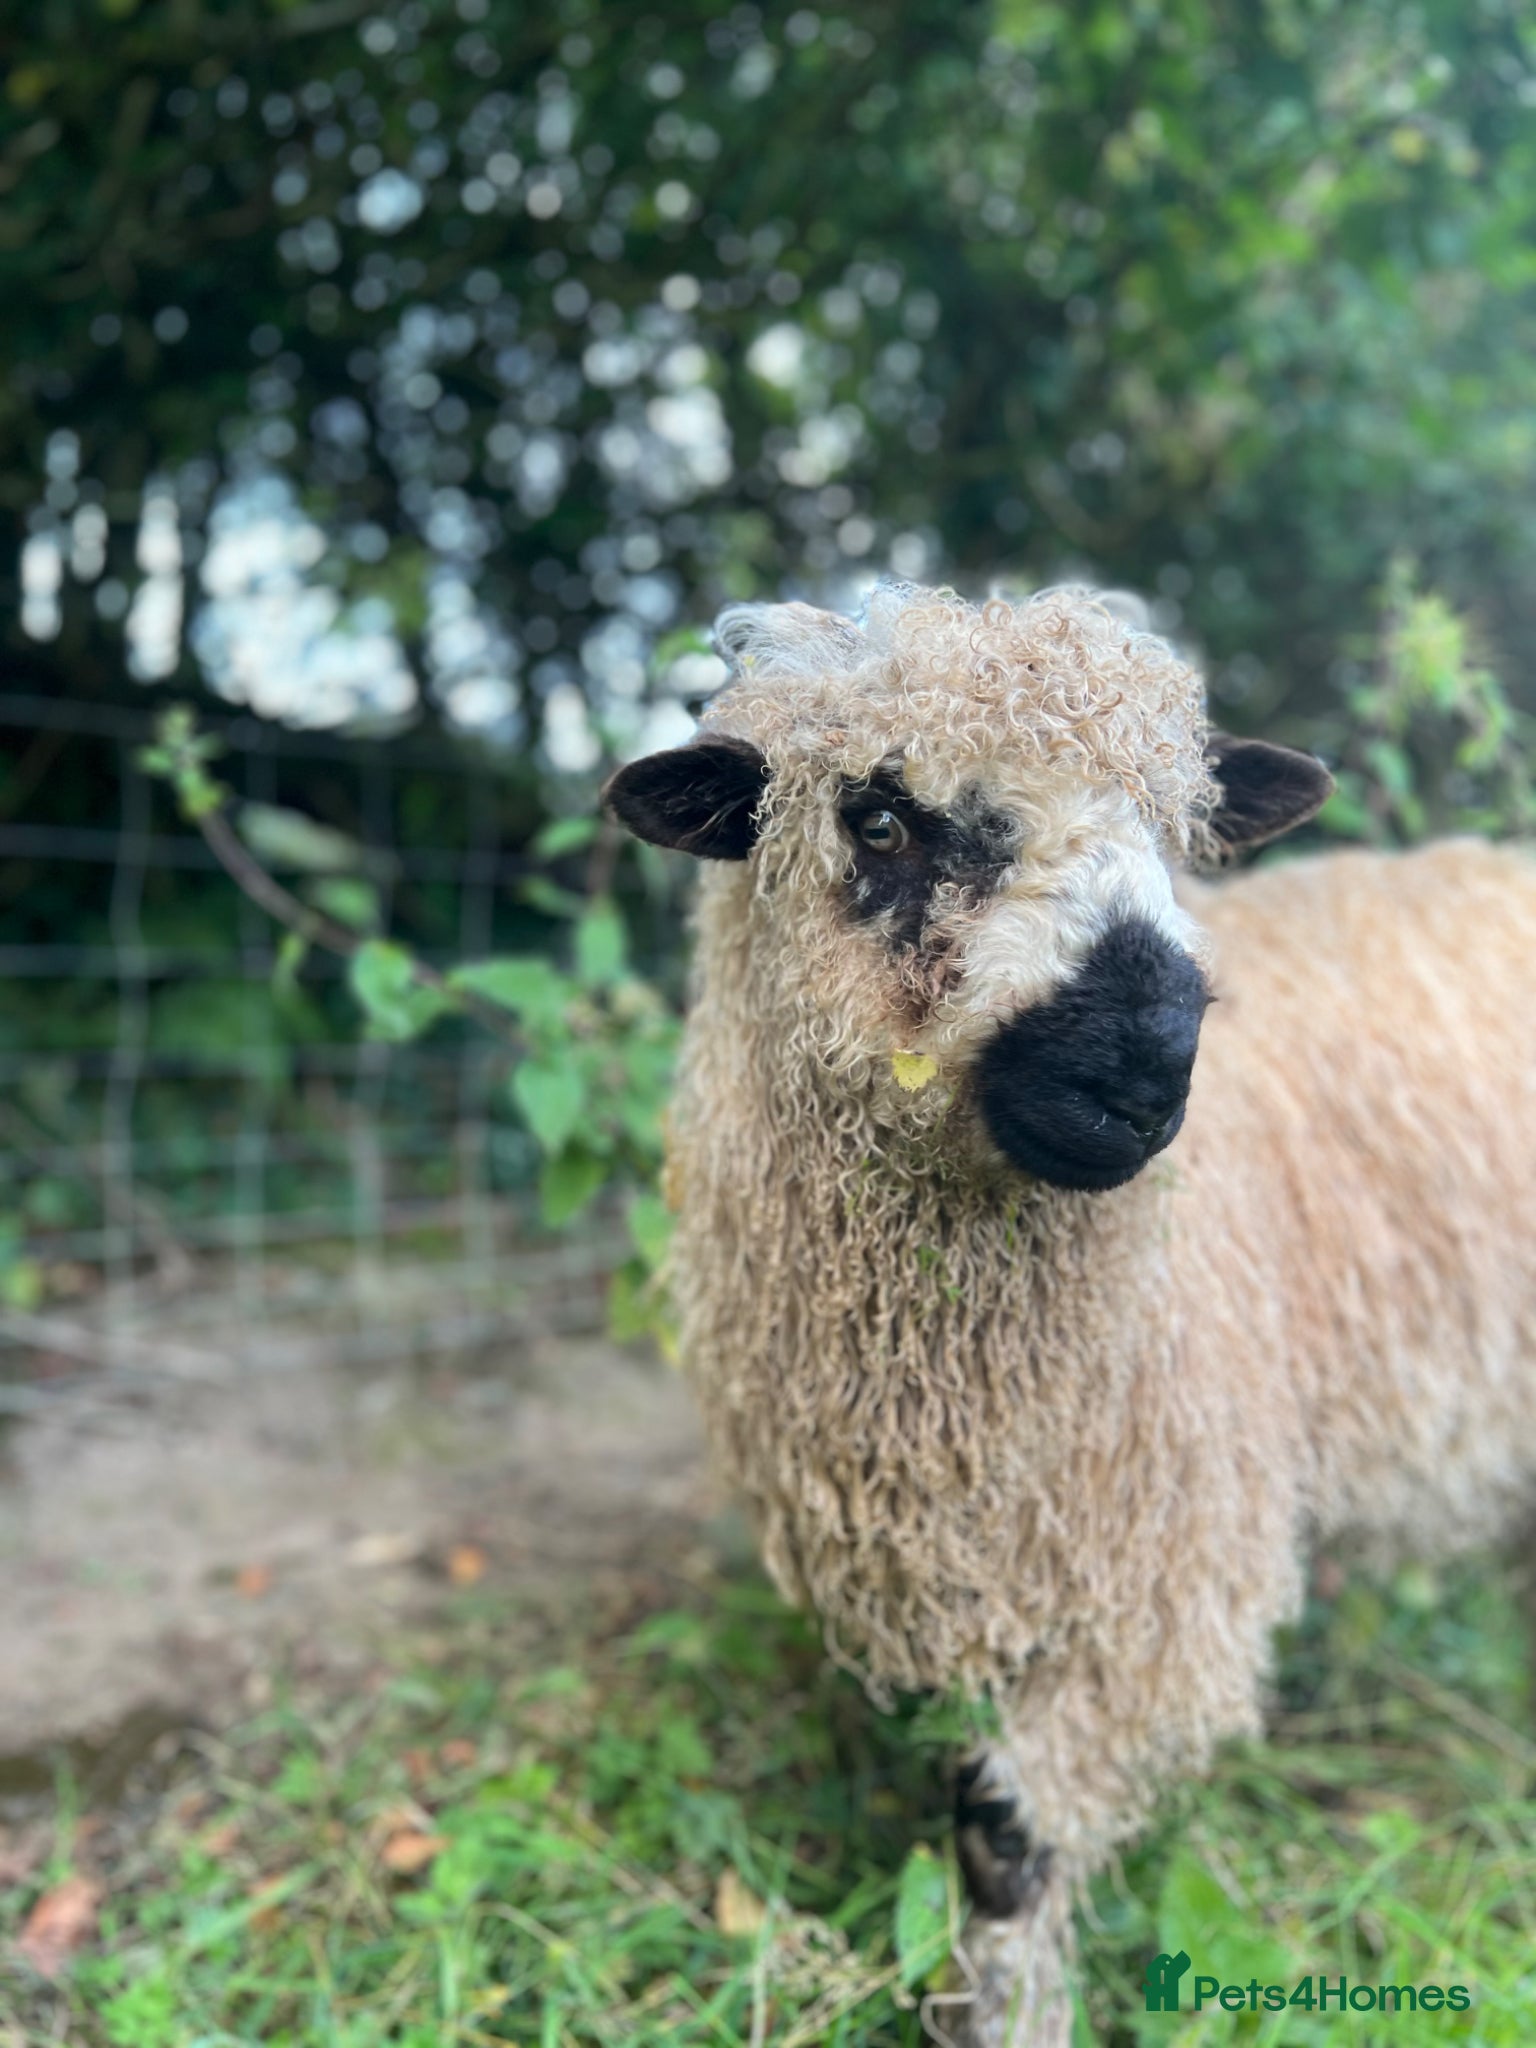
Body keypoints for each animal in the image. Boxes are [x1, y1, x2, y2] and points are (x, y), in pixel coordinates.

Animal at [603, 580, 1536, 2044]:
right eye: (879, 819)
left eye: (1172, 822)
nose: (1146, 1066)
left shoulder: (1157, 1578)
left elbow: (1008, 1830)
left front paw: (1011, 2008)